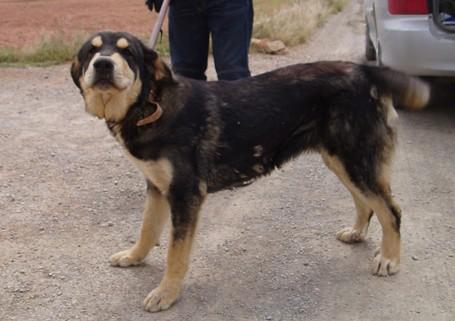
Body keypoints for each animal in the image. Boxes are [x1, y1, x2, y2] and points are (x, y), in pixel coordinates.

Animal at [71, 31, 432, 312]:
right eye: (91, 51)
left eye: (127, 52)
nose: (103, 64)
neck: (151, 104)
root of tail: (363, 71)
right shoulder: (157, 187)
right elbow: (147, 231)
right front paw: (134, 257)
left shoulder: (185, 194)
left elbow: (175, 253)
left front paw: (166, 293)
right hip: (341, 160)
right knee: (366, 204)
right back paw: (357, 233)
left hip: (356, 160)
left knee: (391, 210)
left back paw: (389, 259)